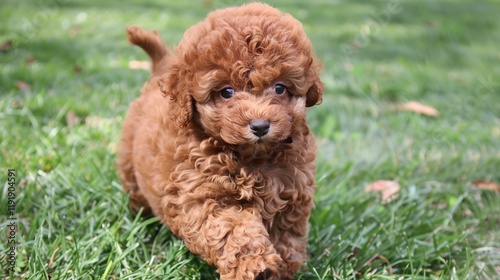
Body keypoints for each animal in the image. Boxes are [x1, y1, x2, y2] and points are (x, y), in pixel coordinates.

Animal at [118, 3, 324, 278]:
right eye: (227, 92)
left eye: (280, 88)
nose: (260, 126)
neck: (252, 160)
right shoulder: (201, 198)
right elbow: (233, 229)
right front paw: (256, 265)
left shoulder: (292, 194)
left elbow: (287, 235)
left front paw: (283, 268)